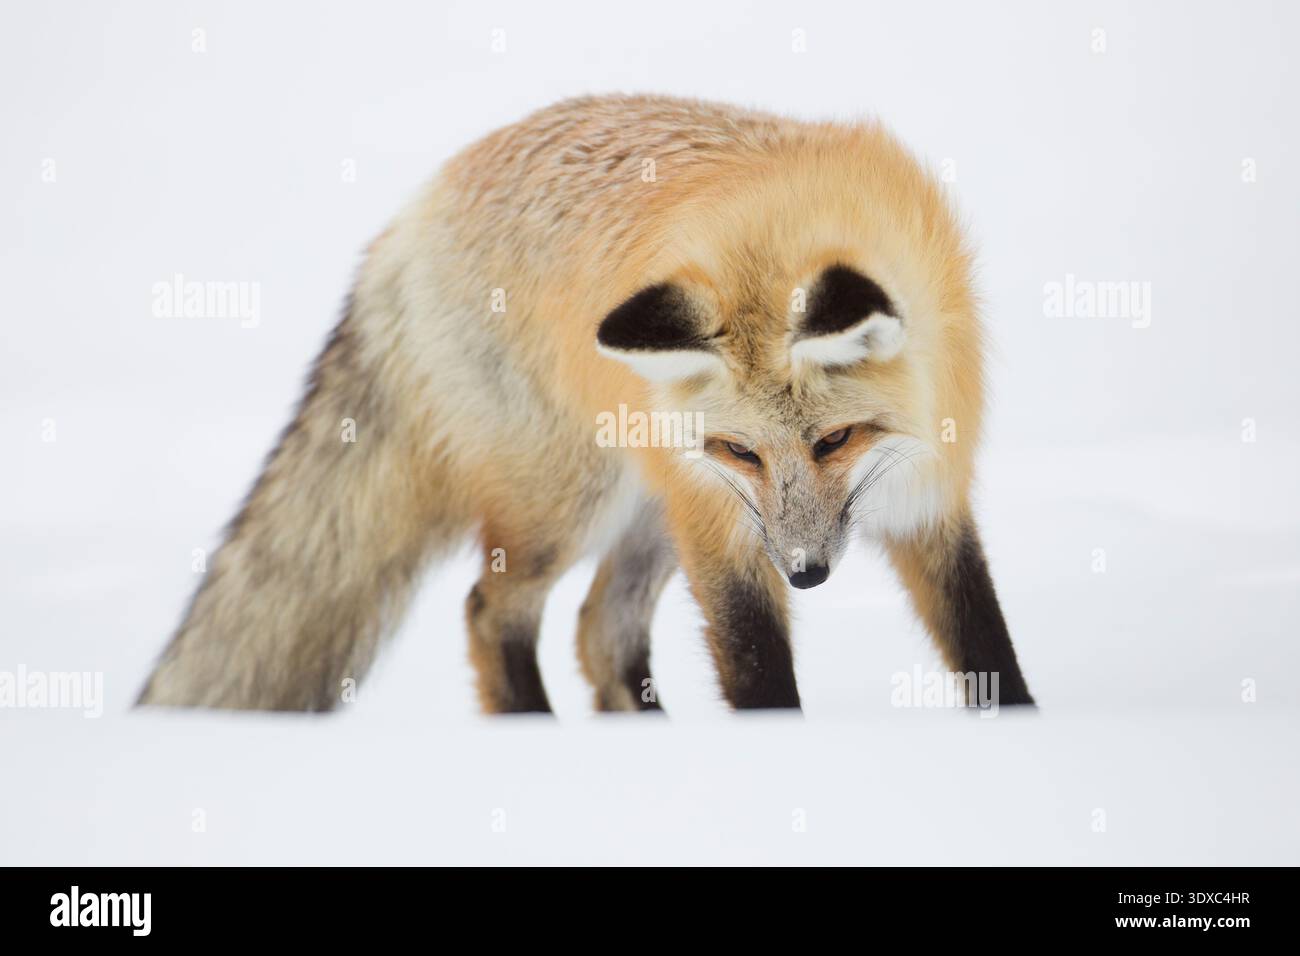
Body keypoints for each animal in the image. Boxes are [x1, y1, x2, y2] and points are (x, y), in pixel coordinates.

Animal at [138, 94, 1034, 714]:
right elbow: (756, 671)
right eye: (743, 450)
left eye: (836, 440)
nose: (806, 572)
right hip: (571, 505)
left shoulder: (929, 500)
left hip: (651, 510)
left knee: (600, 634)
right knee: (489, 611)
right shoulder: (727, 528)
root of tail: (406, 221)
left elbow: (988, 650)